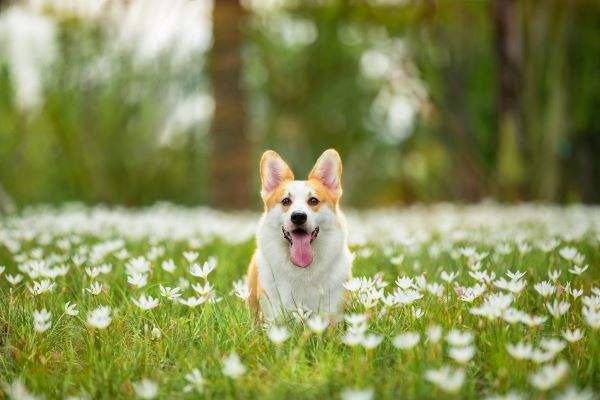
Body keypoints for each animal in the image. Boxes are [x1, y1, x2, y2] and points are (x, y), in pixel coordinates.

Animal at [247, 148, 354, 320]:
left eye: (313, 201)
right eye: (286, 201)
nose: (298, 216)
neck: (302, 269)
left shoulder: (332, 310)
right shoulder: (274, 313)